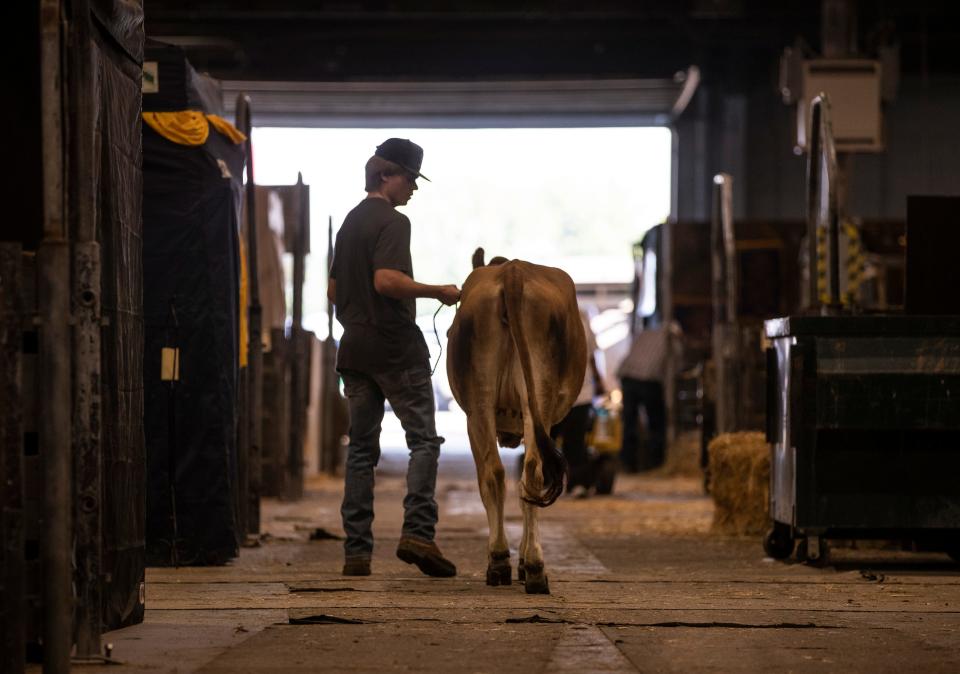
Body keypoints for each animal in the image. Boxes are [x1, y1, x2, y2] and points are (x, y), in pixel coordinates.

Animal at [448, 248, 584, 592]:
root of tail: (512, 272)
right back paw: (524, 564)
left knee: (503, 473)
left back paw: (508, 562)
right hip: (535, 400)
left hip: (481, 401)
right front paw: (520, 561)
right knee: (525, 473)